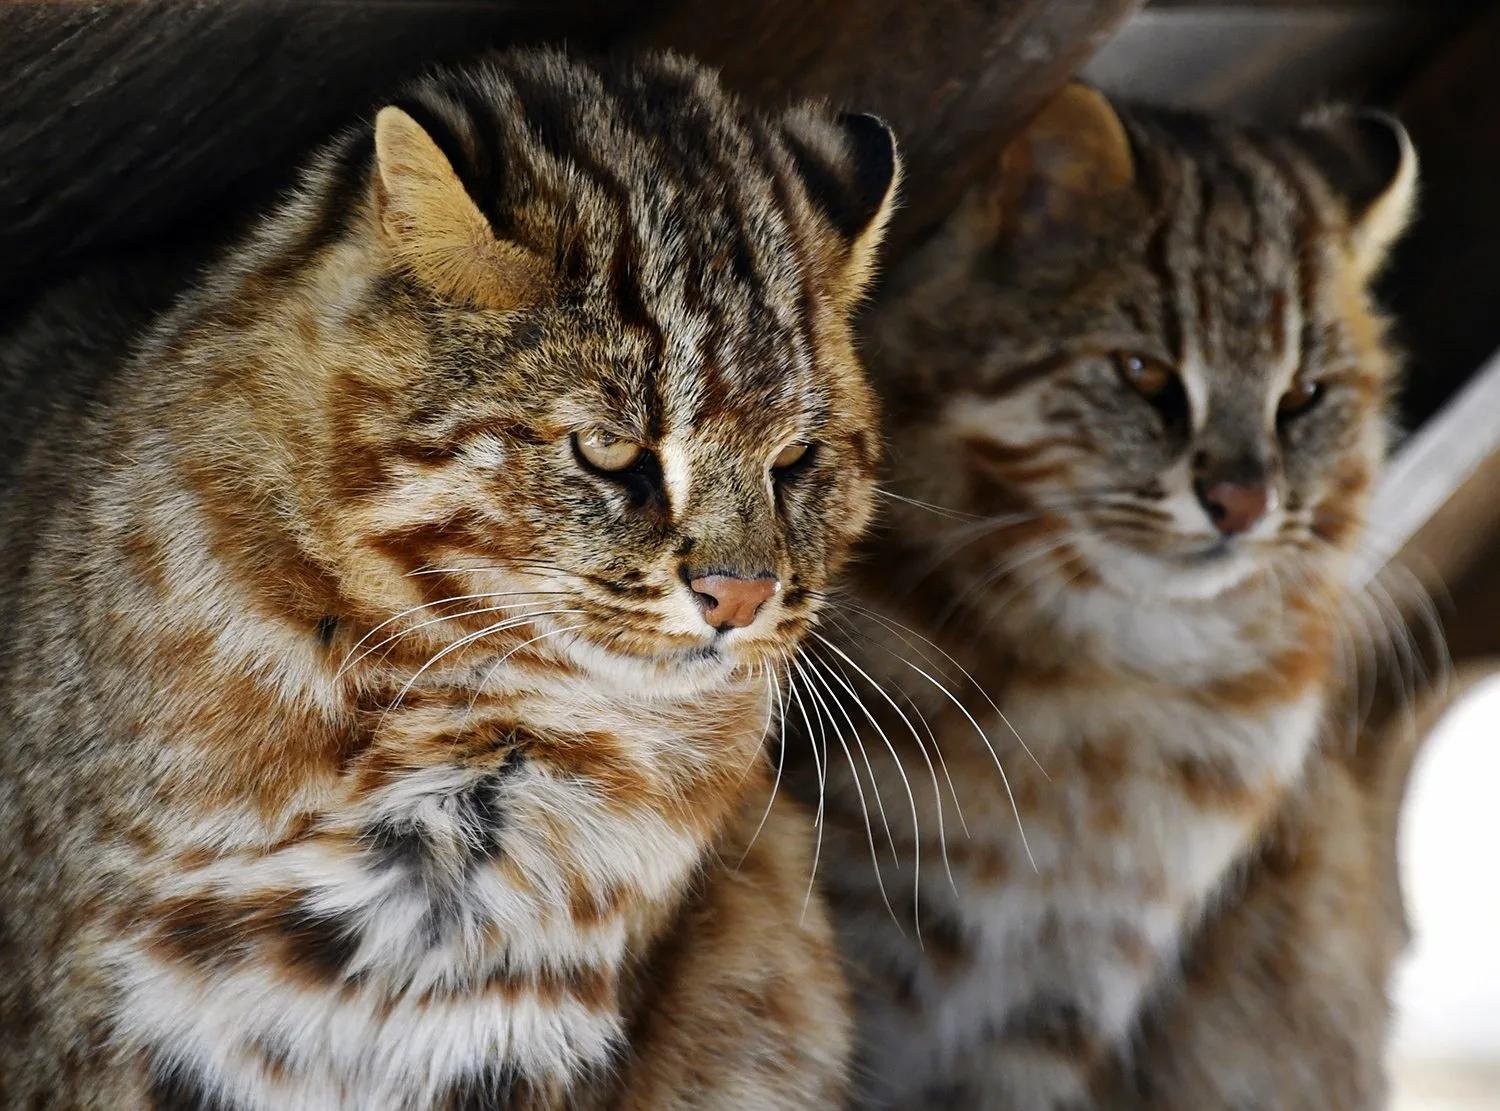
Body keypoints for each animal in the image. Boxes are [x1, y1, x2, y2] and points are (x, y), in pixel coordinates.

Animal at [798, 82, 1416, 1103]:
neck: (1119, 675)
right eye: (1144, 375)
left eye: (1303, 399)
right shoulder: (867, 903)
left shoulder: (1074, 982)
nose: (1244, 503)